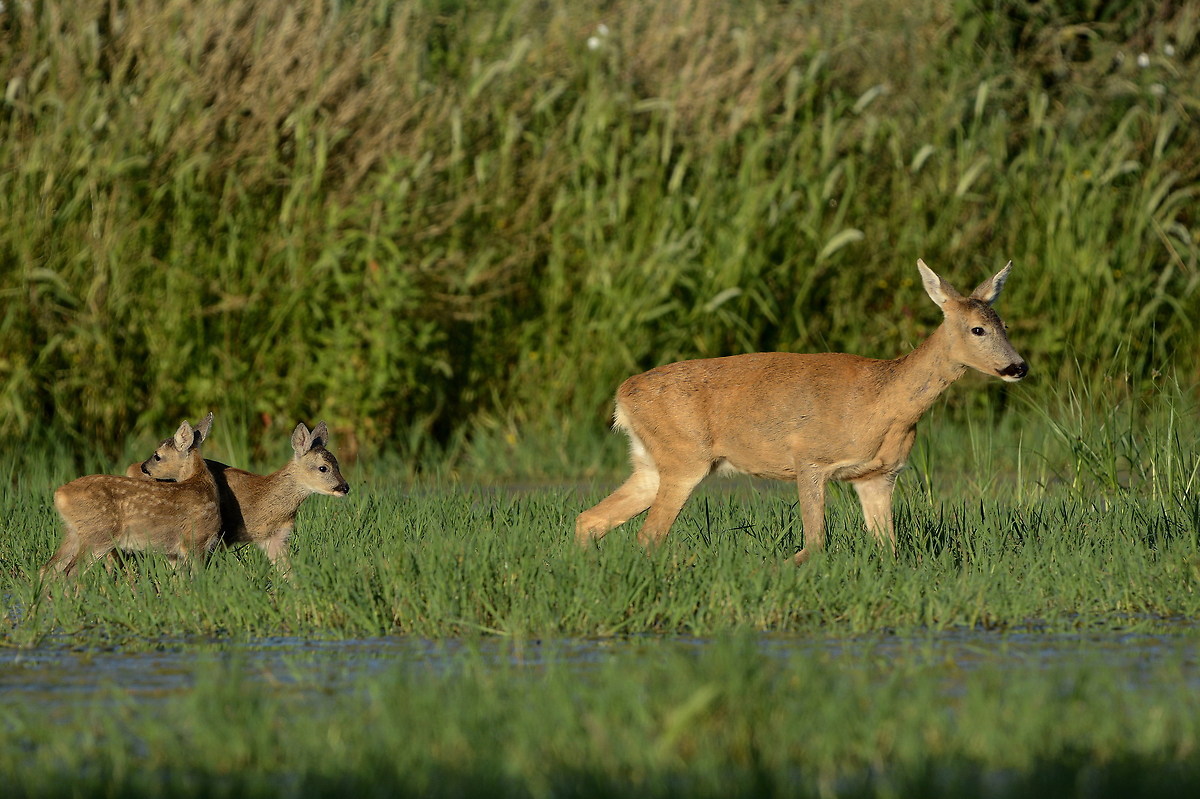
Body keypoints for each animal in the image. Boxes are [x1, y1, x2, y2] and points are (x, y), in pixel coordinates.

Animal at [43, 413, 221, 578]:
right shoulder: (195, 539)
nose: (144, 467)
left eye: (157, 456)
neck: (202, 484)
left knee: (48, 568)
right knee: (68, 573)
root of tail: (59, 494)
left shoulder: (173, 551)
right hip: (99, 533)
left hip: (73, 533)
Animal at [126, 421, 349, 574]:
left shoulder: (275, 538)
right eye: (323, 468)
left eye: (338, 464)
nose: (345, 487)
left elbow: (288, 572)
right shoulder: (221, 534)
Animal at [575, 259, 1028, 564]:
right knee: (649, 536)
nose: (1018, 367)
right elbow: (814, 544)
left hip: (652, 464)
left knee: (589, 519)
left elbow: (889, 549)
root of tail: (622, 396)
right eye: (977, 329)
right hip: (684, 458)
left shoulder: (877, 475)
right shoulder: (810, 459)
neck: (884, 404)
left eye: (1004, 324)